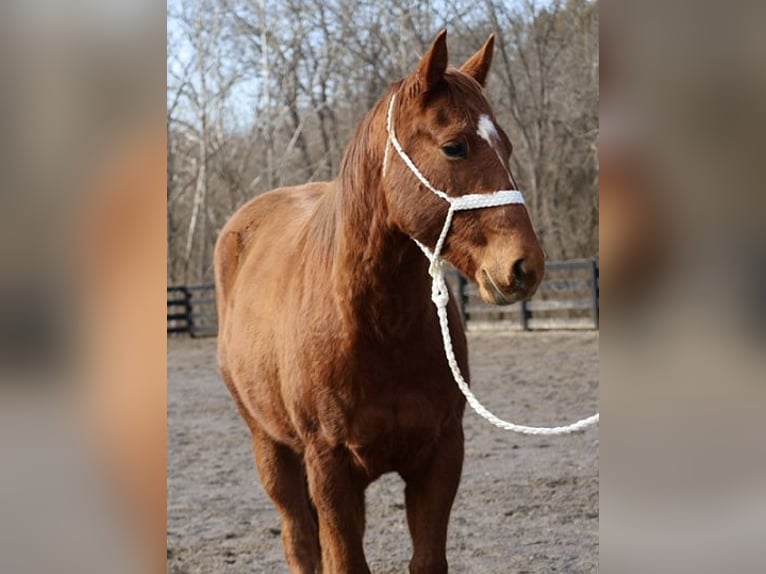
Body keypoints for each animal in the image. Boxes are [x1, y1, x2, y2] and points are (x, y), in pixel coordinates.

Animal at [214, 30, 545, 574]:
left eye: (507, 145)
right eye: (454, 147)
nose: (525, 266)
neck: (374, 329)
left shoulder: (441, 456)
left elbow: (426, 560)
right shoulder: (328, 465)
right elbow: (342, 560)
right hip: (271, 448)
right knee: (299, 540)